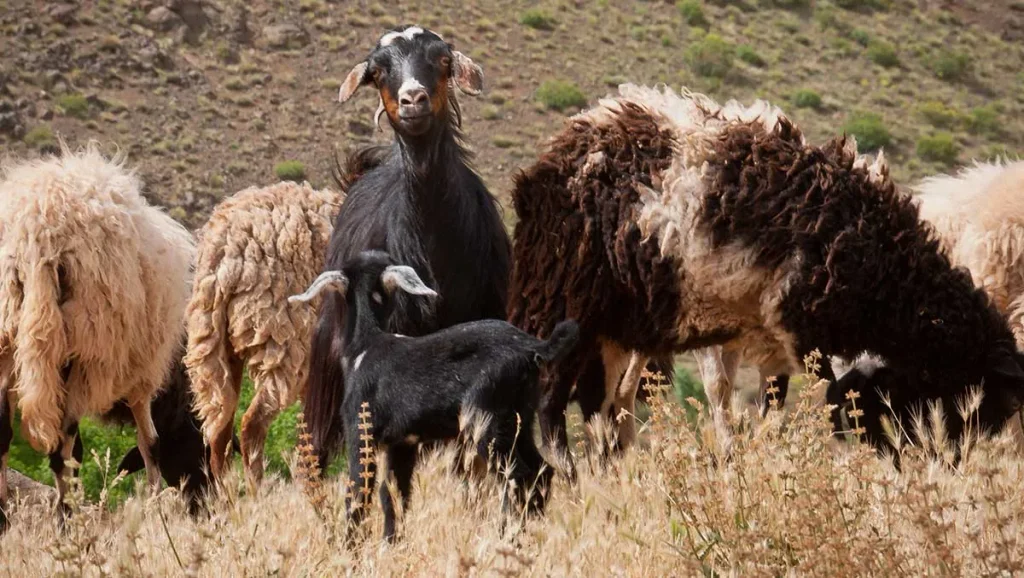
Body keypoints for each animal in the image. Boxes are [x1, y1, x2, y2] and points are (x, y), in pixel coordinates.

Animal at [0, 142, 194, 522]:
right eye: (202, 446)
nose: (205, 503)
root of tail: (36, 230)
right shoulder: (141, 375)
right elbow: (150, 443)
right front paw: (154, 504)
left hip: (11, 337)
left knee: (3, 431)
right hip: (83, 345)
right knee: (63, 447)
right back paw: (66, 516)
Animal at [184, 180, 342, 489]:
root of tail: (228, 249)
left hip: (214, 343)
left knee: (220, 433)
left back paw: (229, 498)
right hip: (282, 341)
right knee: (252, 424)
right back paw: (259, 493)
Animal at [290, 250, 570, 542]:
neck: (366, 344)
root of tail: (534, 347)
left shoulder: (361, 428)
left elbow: (358, 490)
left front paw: (351, 546)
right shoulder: (402, 443)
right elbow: (393, 494)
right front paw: (391, 543)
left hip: (486, 420)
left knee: (517, 474)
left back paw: (506, 535)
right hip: (519, 418)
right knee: (541, 470)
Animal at [506, 83, 1024, 475]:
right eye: (985, 401)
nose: (955, 462)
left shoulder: (775, 340)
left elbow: (779, 410)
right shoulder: (806, 331)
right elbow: (841, 404)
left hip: (615, 324)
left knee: (604, 401)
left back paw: (609, 468)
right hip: (566, 300)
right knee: (552, 396)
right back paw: (570, 472)